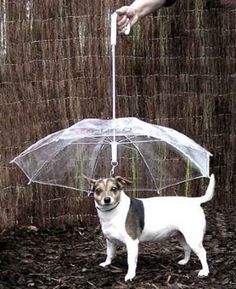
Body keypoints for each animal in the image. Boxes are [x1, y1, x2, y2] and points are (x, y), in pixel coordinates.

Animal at [85, 173, 216, 282]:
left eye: (114, 189)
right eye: (98, 190)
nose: (107, 199)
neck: (113, 212)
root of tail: (195, 201)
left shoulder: (132, 243)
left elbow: (131, 261)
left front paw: (130, 275)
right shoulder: (110, 241)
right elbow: (109, 253)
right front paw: (106, 263)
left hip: (193, 238)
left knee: (203, 253)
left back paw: (205, 271)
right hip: (181, 235)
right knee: (187, 248)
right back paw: (184, 261)